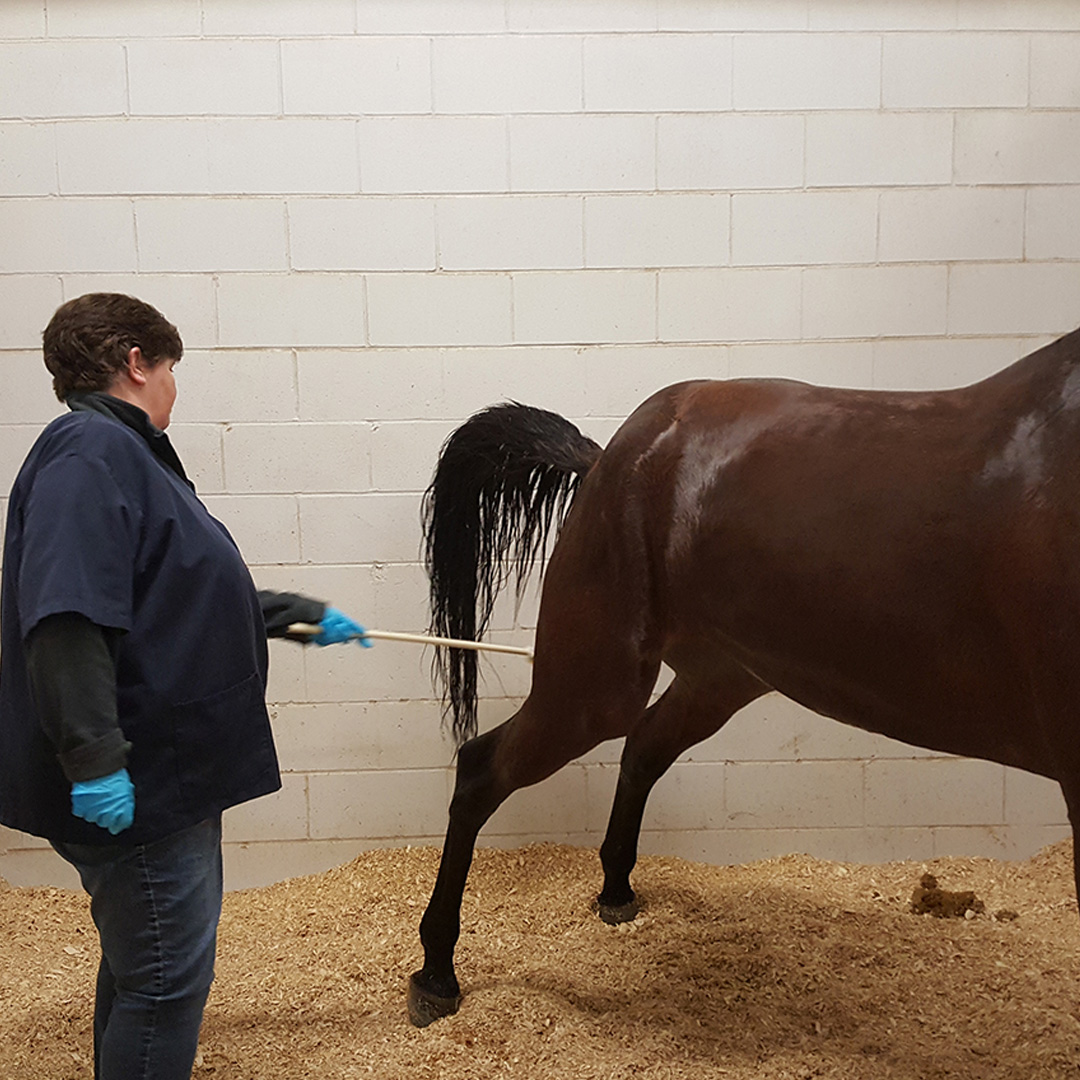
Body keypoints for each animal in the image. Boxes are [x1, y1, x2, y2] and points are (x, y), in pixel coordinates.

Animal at [408, 330, 1080, 1028]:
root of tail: (612, 457)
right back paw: (436, 973)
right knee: (482, 767)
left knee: (642, 747)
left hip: (718, 679)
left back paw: (615, 891)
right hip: (593, 686)